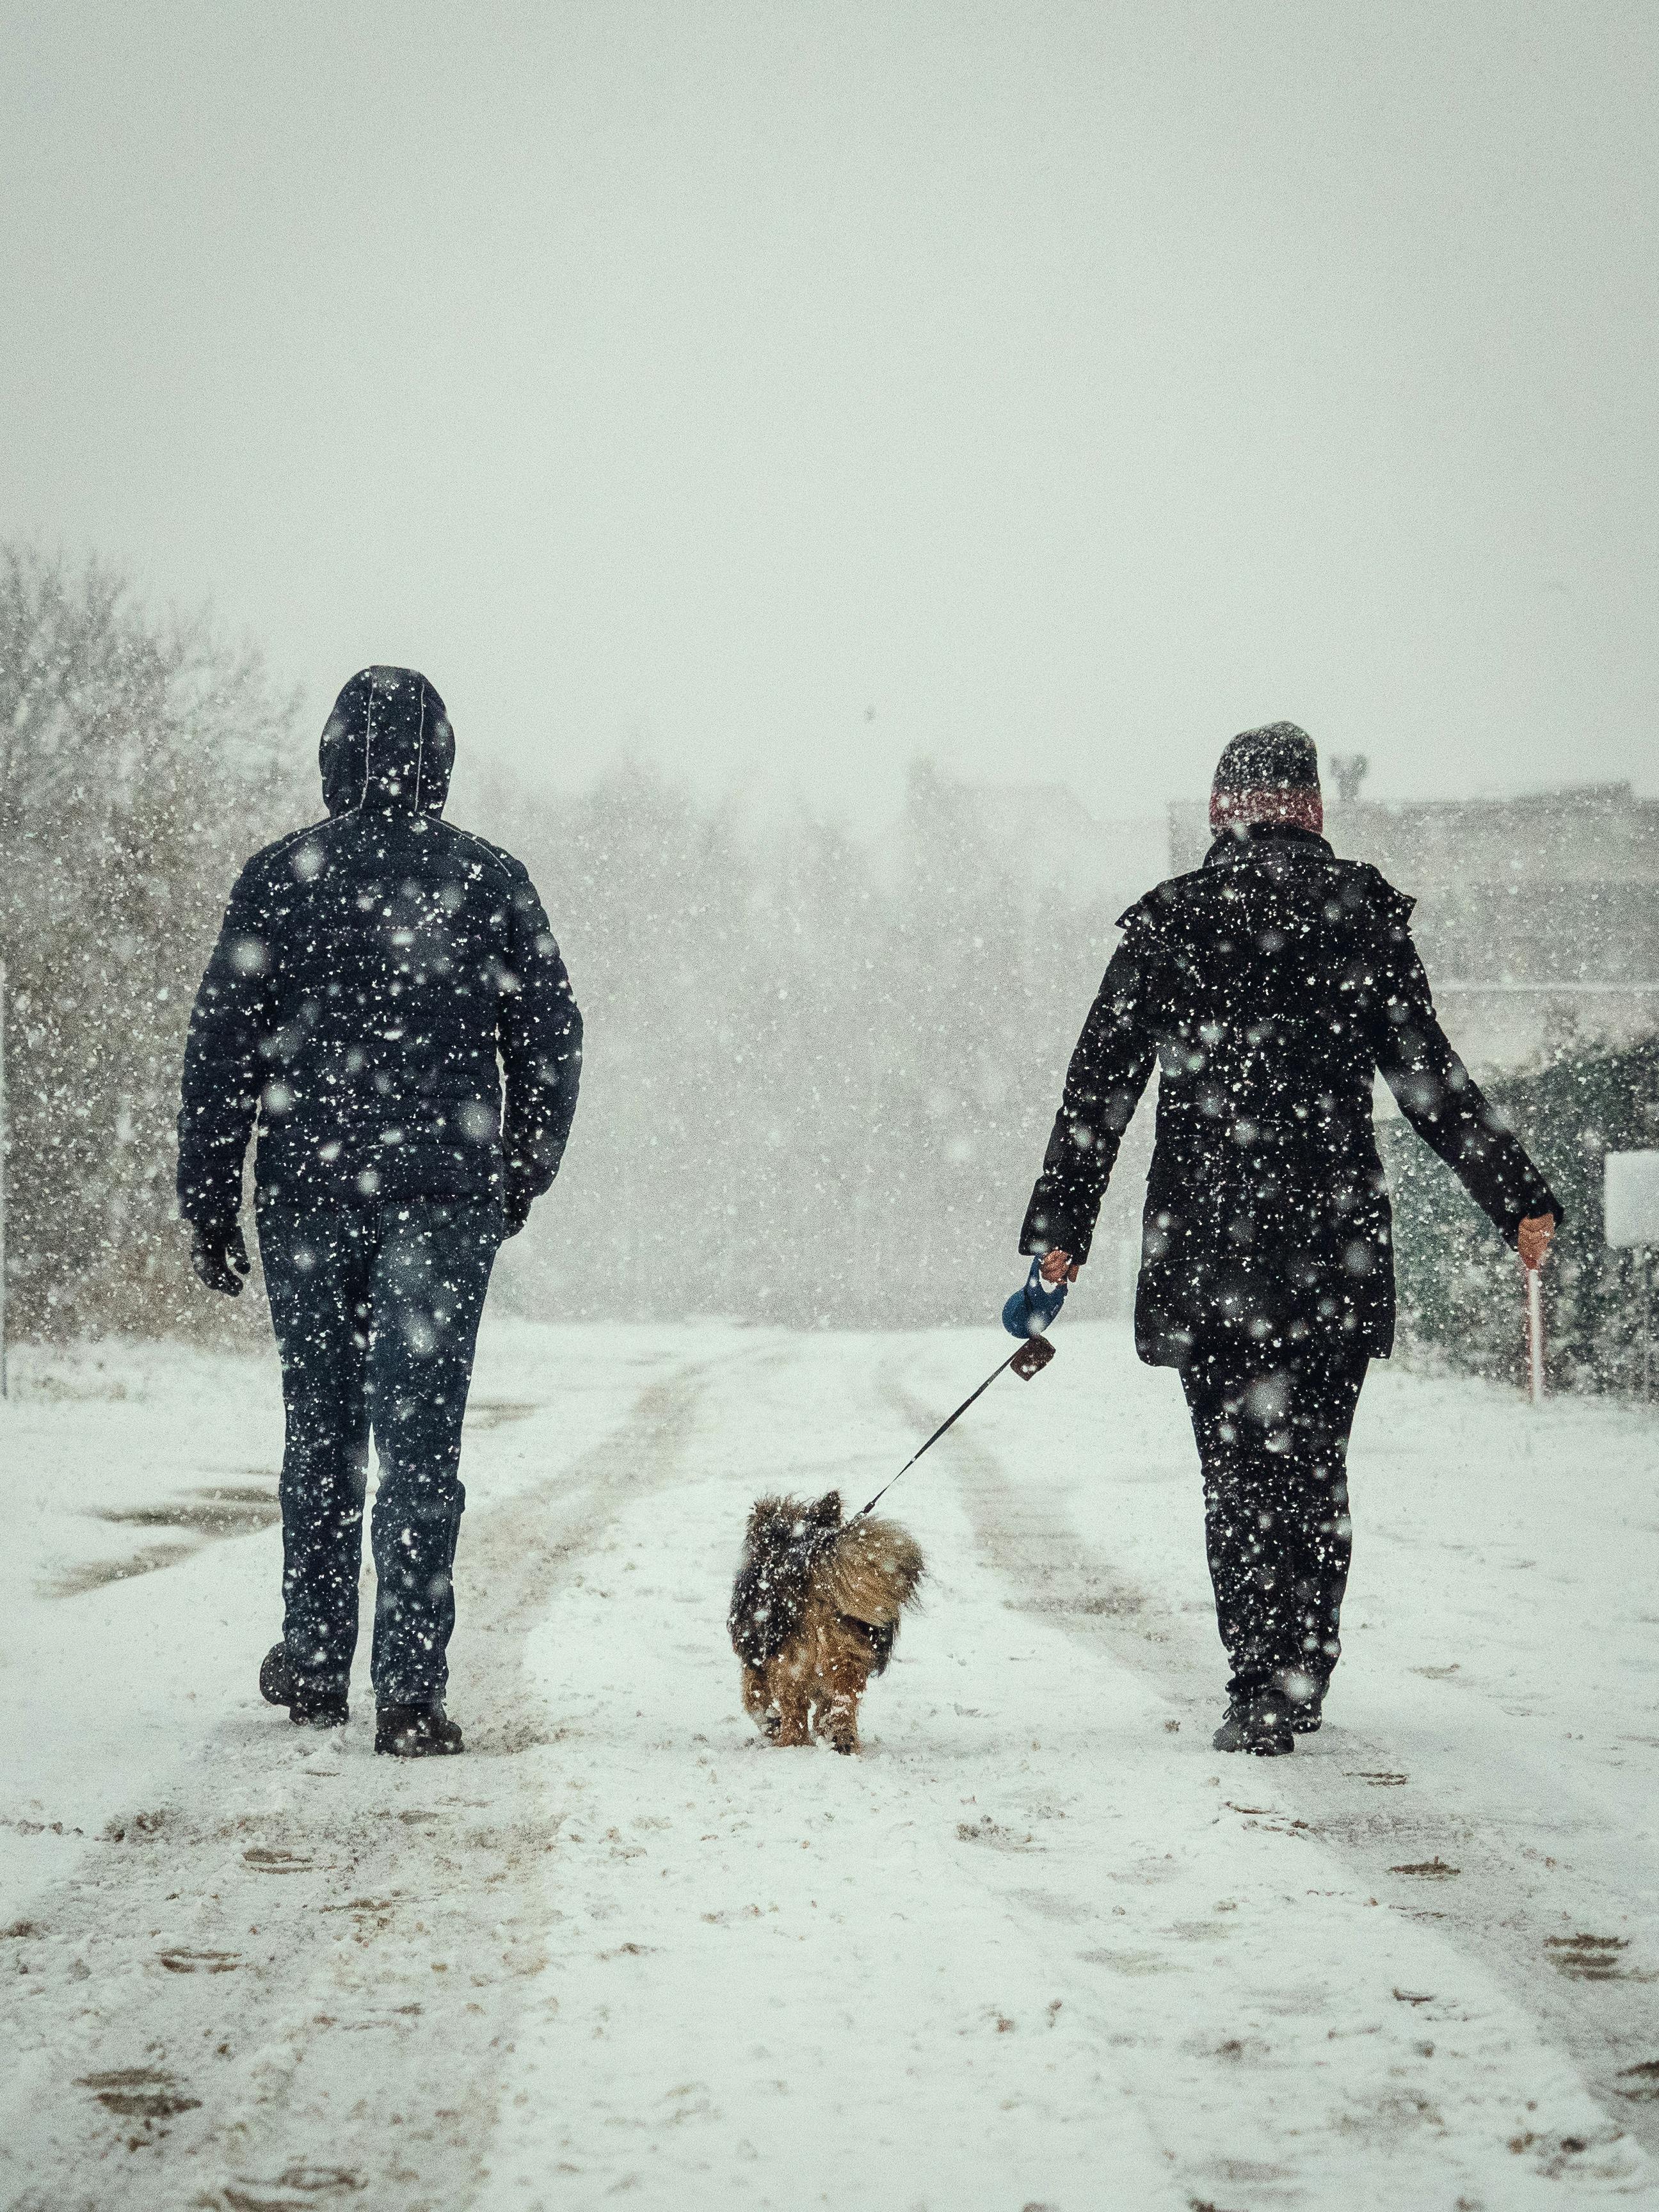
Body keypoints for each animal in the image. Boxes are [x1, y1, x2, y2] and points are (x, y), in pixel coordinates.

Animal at [730, 1495, 929, 1752]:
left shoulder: (754, 1657)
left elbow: (753, 1698)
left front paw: (772, 1724)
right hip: (846, 1653)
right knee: (843, 1700)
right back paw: (842, 1740)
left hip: (790, 1661)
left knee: (794, 1712)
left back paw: (791, 1744)